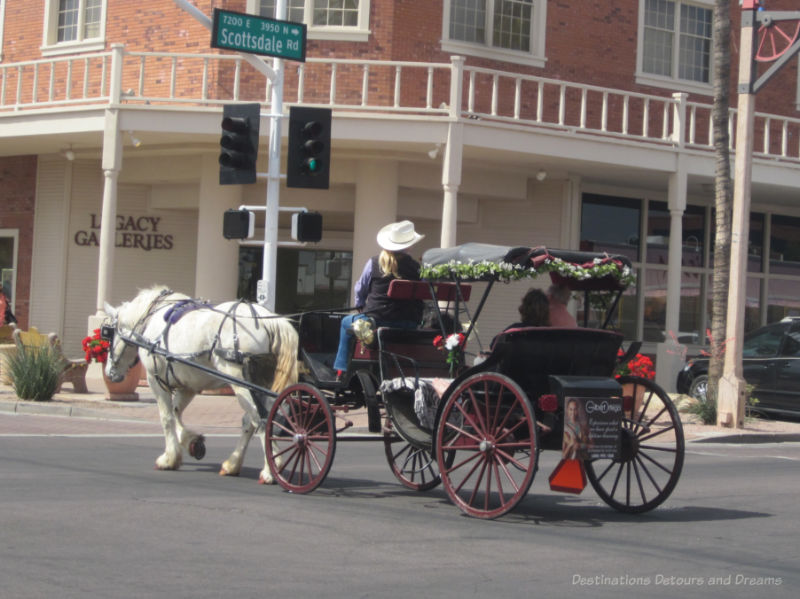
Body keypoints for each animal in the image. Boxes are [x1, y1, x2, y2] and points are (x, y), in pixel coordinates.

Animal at [103, 284, 296, 486]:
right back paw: (233, 464)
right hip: (261, 383)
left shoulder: (155, 379)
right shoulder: (189, 385)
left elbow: (167, 418)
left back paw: (270, 470)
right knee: (252, 420)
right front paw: (192, 442)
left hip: (241, 382)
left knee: (261, 419)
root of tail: (270, 321)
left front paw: (169, 459)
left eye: (107, 333)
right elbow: (176, 412)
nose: (109, 373)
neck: (151, 318)